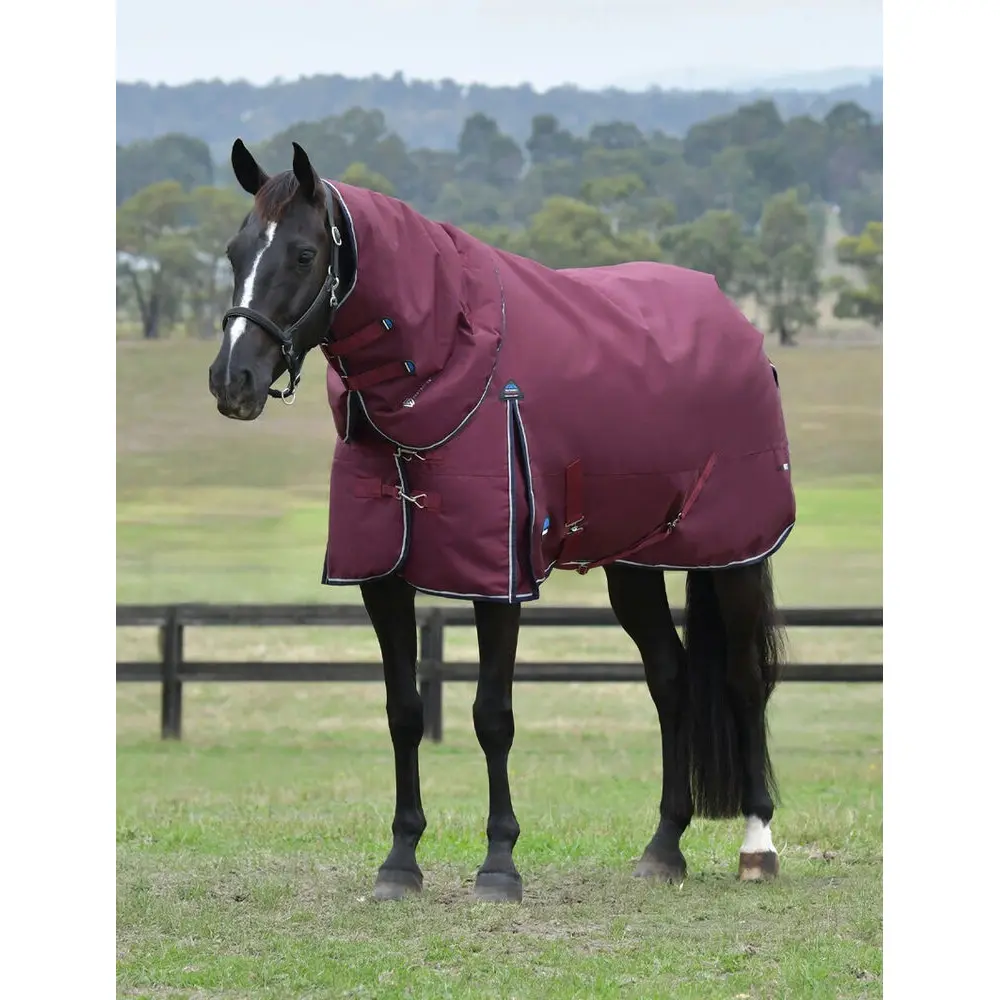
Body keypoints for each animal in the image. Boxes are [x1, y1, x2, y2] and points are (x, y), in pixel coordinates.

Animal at [208, 139, 795, 903]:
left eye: (305, 253)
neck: (446, 364)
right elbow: (404, 711)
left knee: (745, 680)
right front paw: (400, 862)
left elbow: (493, 715)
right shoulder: (381, 577)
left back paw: (758, 845)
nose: (232, 381)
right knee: (670, 677)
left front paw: (498, 864)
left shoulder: (498, 577)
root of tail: (737, 326)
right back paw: (663, 847)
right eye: (235, 250)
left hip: (735, 554)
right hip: (635, 562)